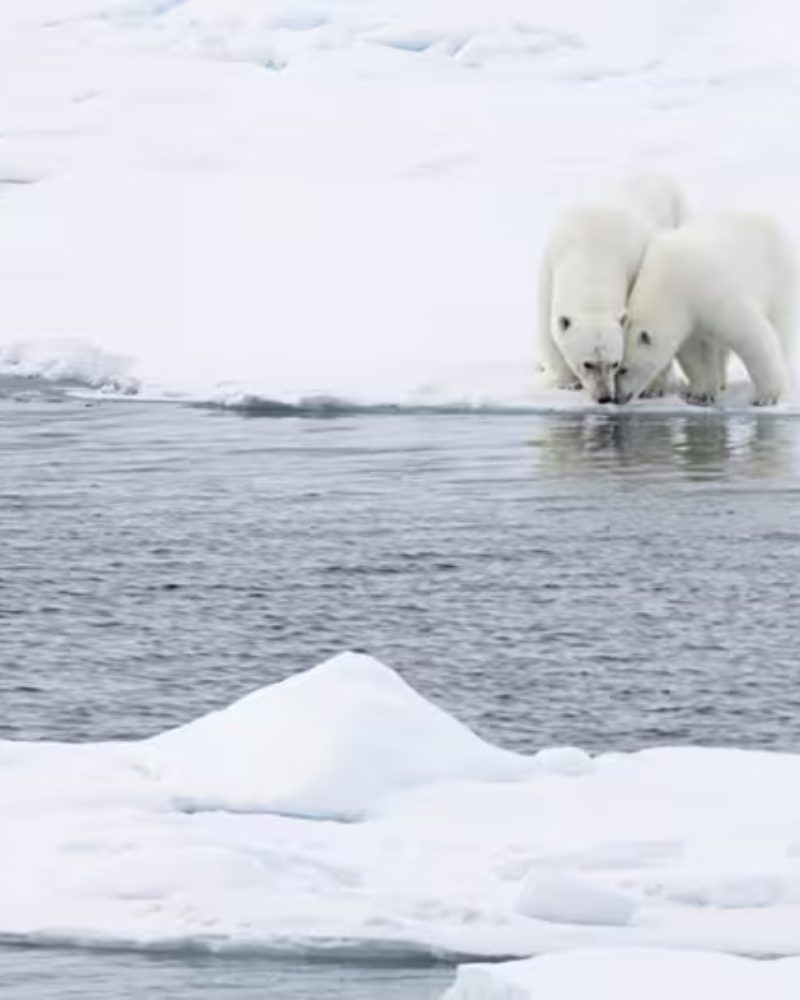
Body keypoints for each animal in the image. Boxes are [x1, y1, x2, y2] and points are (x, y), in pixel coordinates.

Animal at [536, 173, 687, 403]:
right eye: (587, 364)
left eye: (615, 364)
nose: (605, 397)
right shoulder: (550, 267)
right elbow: (547, 327)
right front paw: (566, 382)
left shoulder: (636, 266)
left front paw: (653, 388)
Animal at [616, 212, 795, 407]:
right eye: (615, 368)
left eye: (623, 369)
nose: (617, 398)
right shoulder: (690, 318)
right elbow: (697, 354)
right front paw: (700, 394)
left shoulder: (710, 293)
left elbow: (751, 337)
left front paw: (767, 397)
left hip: (778, 281)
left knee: (780, 328)